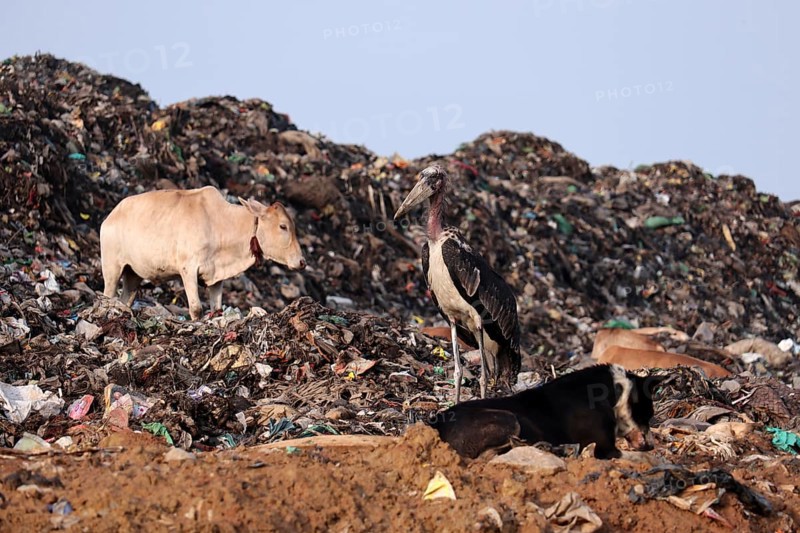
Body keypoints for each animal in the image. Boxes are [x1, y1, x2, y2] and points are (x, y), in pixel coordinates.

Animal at [100, 186, 306, 320]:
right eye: (283, 226)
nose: (302, 261)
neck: (219, 223)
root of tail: (110, 217)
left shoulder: (217, 277)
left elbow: (217, 307)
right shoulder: (188, 269)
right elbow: (196, 309)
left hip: (133, 274)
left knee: (125, 299)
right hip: (112, 268)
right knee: (108, 295)